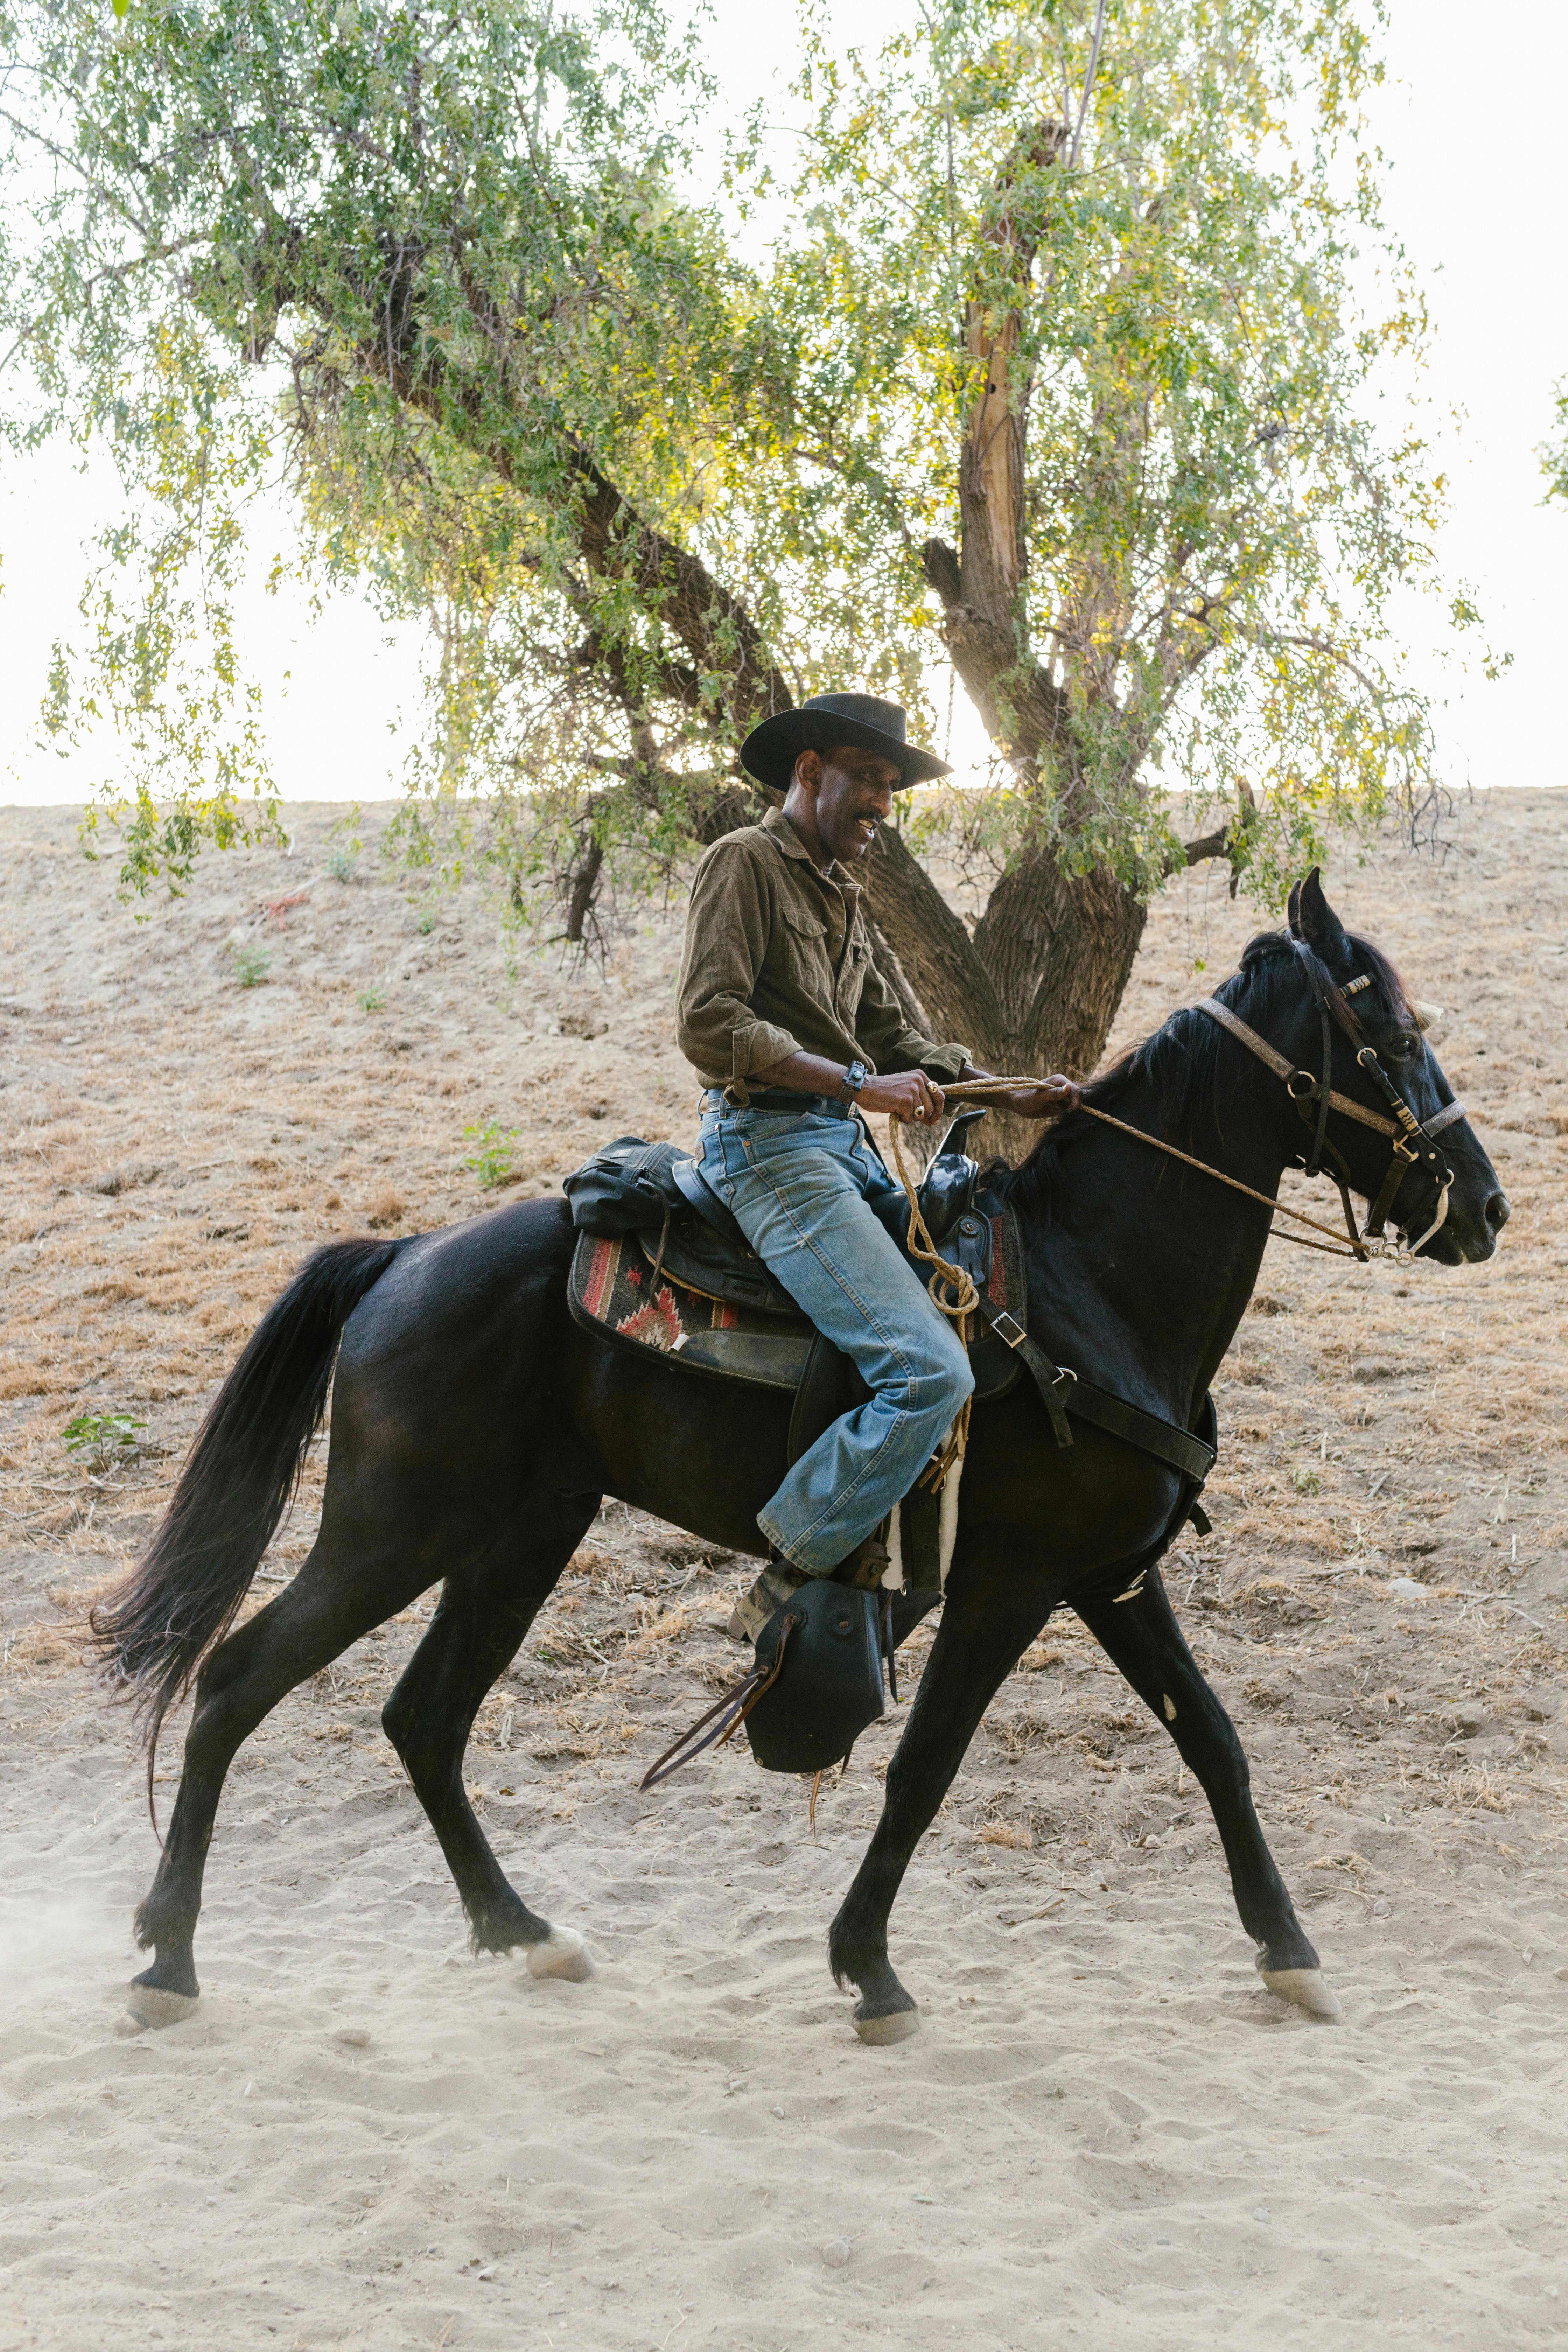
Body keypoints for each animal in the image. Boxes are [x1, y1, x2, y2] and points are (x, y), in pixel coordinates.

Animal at [95, 884, 1504, 2041]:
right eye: (1390, 1035)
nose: (1485, 1207)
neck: (1086, 1286)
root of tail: (400, 1256)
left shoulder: (1110, 1575)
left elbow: (1213, 1740)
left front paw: (1288, 1948)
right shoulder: (1009, 1583)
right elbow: (924, 1764)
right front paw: (867, 1963)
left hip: (521, 1534)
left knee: (424, 1717)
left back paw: (524, 1931)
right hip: (394, 1529)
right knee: (237, 1679)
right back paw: (167, 1956)